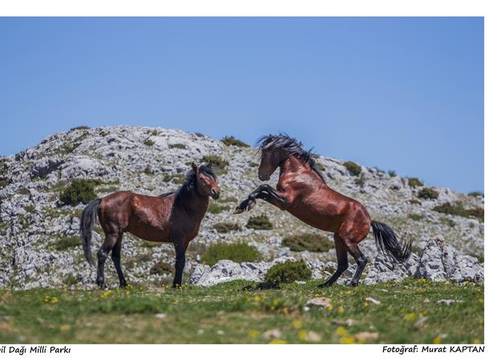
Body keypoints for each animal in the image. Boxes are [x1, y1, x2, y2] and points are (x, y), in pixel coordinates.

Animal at [80, 165, 219, 288]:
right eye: (201, 178)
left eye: (214, 177)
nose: (216, 192)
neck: (183, 206)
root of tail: (102, 200)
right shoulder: (179, 240)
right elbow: (180, 262)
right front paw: (176, 285)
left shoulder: (185, 242)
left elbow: (180, 262)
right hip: (112, 234)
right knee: (102, 254)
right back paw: (102, 283)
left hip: (119, 234)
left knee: (115, 257)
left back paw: (124, 284)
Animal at [236, 135, 412, 286]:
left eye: (266, 151)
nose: (262, 175)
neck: (297, 173)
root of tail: (370, 220)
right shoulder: (281, 202)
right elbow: (261, 192)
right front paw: (243, 205)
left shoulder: (285, 201)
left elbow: (263, 188)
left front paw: (244, 205)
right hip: (338, 239)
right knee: (343, 265)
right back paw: (325, 284)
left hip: (348, 239)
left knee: (361, 259)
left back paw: (352, 283)